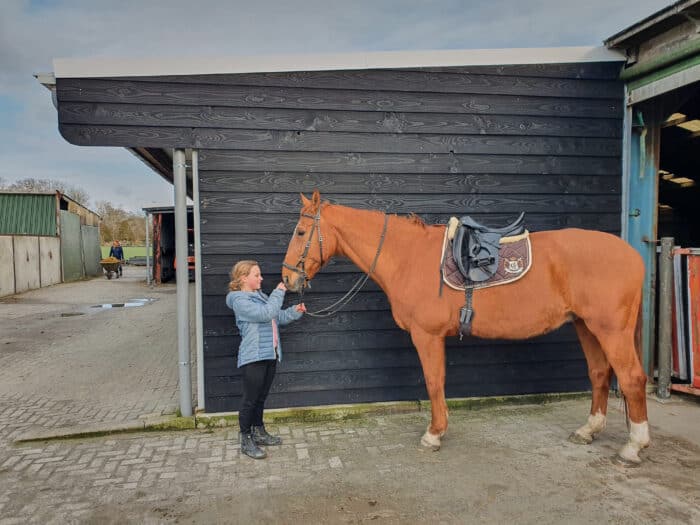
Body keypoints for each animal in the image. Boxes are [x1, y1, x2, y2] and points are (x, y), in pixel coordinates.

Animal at [280, 191, 652, 462]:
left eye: (301, 232)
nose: (288, 278)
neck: (408, 256)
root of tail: (633, 255)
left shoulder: (427, 336)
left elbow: (434, 381)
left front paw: (433, 434)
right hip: (586, 327)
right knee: (600, 374)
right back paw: (589, 430)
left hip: (610, 330)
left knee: (632, 379)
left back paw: (634, 445)